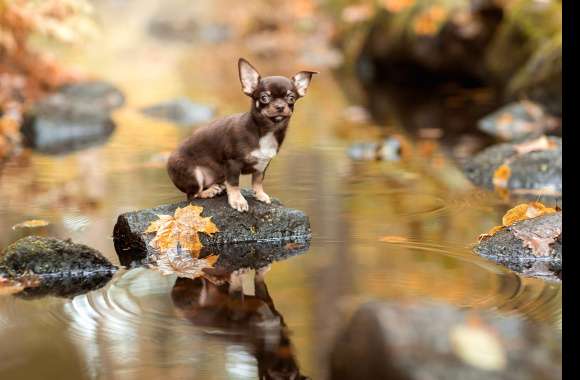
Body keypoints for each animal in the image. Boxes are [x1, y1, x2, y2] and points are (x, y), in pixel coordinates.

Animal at [167, 57, 318, 211]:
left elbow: (258, 180)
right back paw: (209, 191)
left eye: (291, 98)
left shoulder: (263, 163)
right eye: (264, 98)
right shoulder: (233, 163)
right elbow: (234, 183)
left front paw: (260, 194)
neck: (266, 130)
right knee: (192, 195)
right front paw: (237, 200)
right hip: (194, 175)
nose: (280, 106)